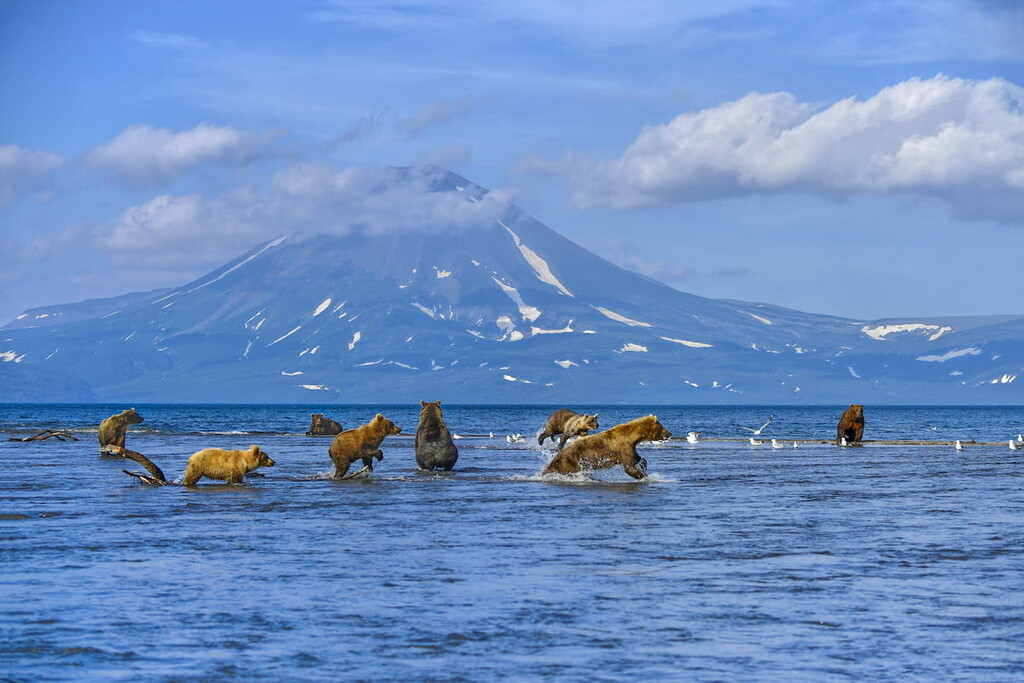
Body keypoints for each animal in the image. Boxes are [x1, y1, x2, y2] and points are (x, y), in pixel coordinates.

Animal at [542, 414, 671, 480]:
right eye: (662, 427)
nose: (670, 433)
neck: (632, 437)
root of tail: (558, 456)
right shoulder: (623, 447)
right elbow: (629, 466)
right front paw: (641, 475)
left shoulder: (630, 448)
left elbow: (638, 458)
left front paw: (643, 467)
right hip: (571, 461)